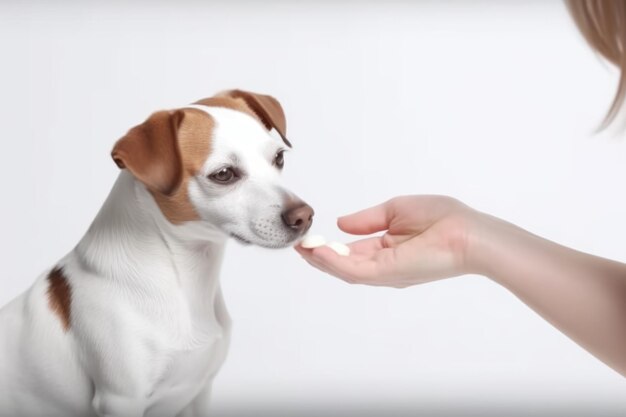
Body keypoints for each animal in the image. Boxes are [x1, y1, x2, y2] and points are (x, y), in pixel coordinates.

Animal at [0, 90, 312, 416]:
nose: (305, 216)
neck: (183, 279)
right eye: (224, 174)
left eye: (278, 158)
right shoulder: (121, 400)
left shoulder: (198, 393)